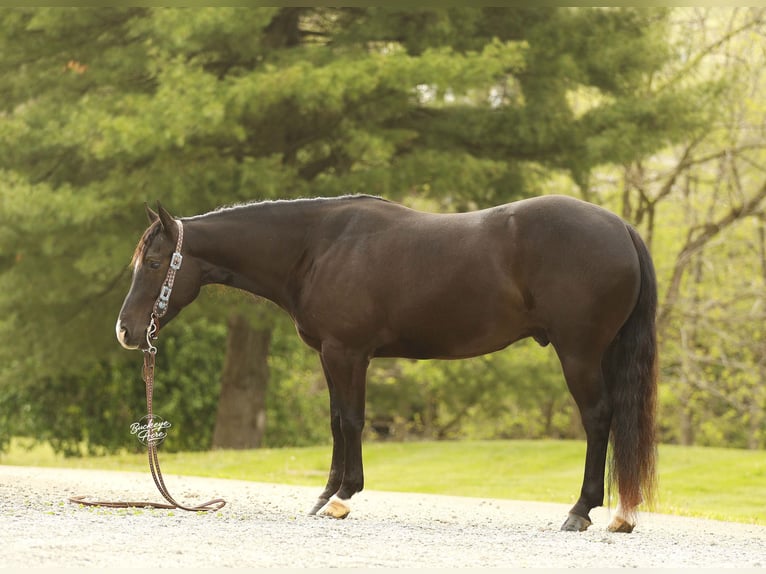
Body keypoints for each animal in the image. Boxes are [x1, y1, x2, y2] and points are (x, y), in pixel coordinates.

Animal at [115, 194, 658, 533]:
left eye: (155, 264)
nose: (125, 331)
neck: (316, 247)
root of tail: (620, 228)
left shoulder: (348, 352)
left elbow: (352, 421)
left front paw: (342, 497)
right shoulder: (332, 354)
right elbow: (337, 420)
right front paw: (325, 497)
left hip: (579, 352)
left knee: (599, 419)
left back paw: (581, 510)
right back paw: (621, 515)